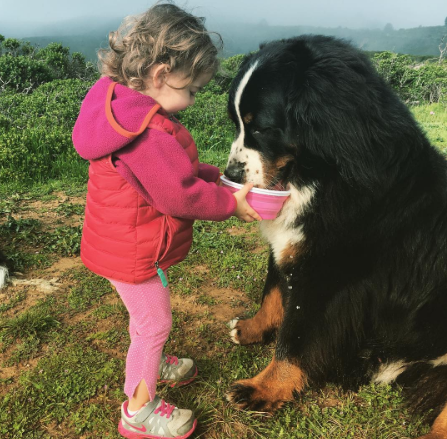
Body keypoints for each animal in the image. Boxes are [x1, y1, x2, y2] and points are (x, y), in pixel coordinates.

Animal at [226, 35, 447, 439]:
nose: (231, 174)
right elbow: (272, 293)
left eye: (262, 128)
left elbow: (294, 338)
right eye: (236, 123)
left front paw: (262, 389)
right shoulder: (291, 248)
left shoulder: (326, 275)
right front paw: (250, 328)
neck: (327, 175)